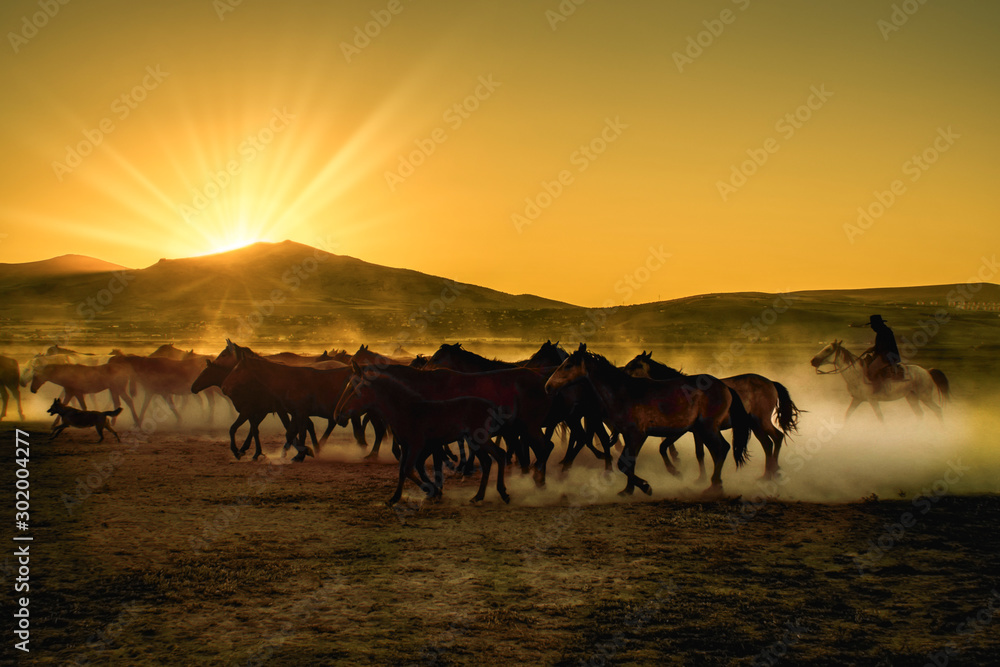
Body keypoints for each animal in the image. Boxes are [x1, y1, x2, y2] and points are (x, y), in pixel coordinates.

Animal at [808, 342, 948, 420]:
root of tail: (927, 371)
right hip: (911, 397)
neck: (857, 374)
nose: (813, 361)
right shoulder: (857, 399)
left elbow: (880, 418)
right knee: (920, 414)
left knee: (938, 411)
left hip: (925, 397)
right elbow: (847, 415)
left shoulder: (872, 400)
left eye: (828, 349)